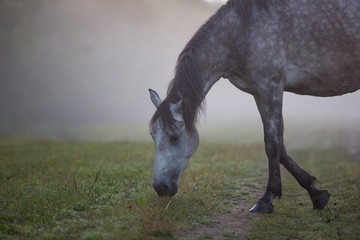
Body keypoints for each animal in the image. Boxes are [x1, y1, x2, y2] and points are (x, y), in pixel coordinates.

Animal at [148, 0, 358, 214]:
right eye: (152, 135)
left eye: (174, 137)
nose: (160, 187)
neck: (242, 31)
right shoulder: (259, 93)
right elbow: (281, 148)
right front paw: (316, 194)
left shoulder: (271, 87)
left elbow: (272, 145)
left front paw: (267, 199)